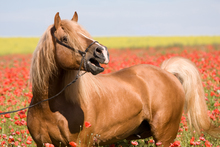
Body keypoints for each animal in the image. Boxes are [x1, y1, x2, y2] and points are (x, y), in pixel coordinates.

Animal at [27, 12, 220, 146]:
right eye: (65, 38)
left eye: (85, 34)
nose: (102, 52)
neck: (49, 107)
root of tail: (168, 73)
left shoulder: (81, 143)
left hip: (165, 137)